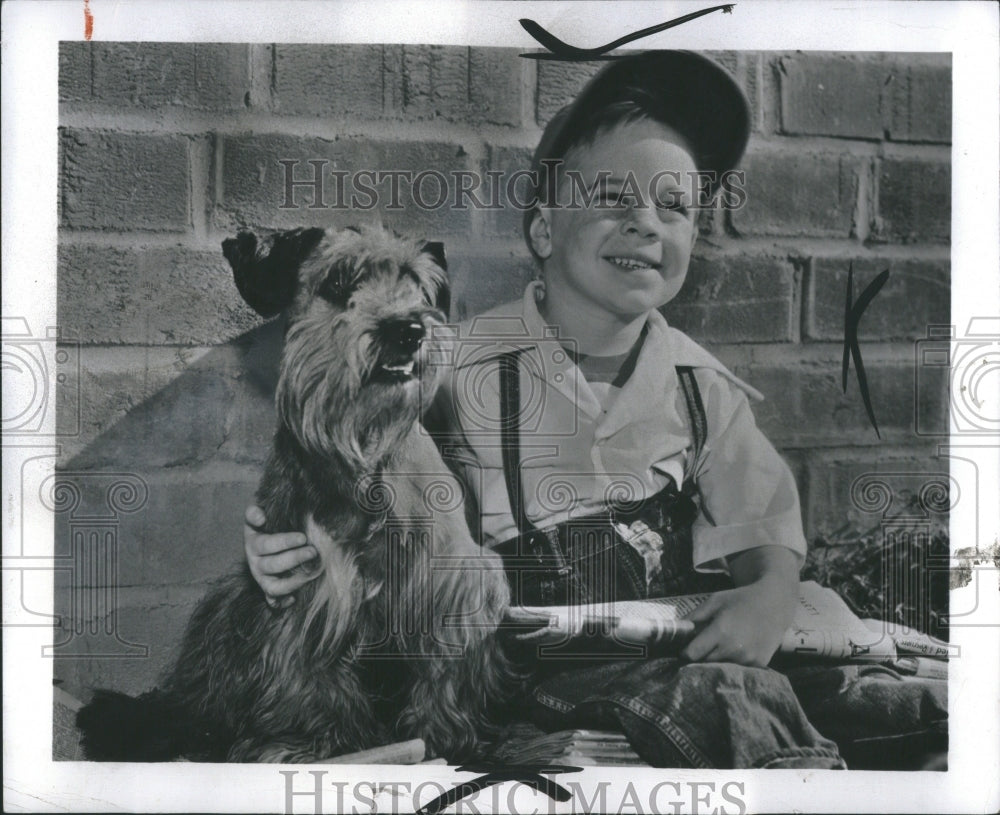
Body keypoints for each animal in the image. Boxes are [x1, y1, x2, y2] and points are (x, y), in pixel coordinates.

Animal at [77, 225, 512, 764]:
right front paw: (309, 745)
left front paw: (449, 737)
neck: (365, 455)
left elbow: (445, 674)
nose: (409, 330)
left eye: (413, 280)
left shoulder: (452, 581)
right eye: (339, 281)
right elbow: (308, 680)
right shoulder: (308, 590)